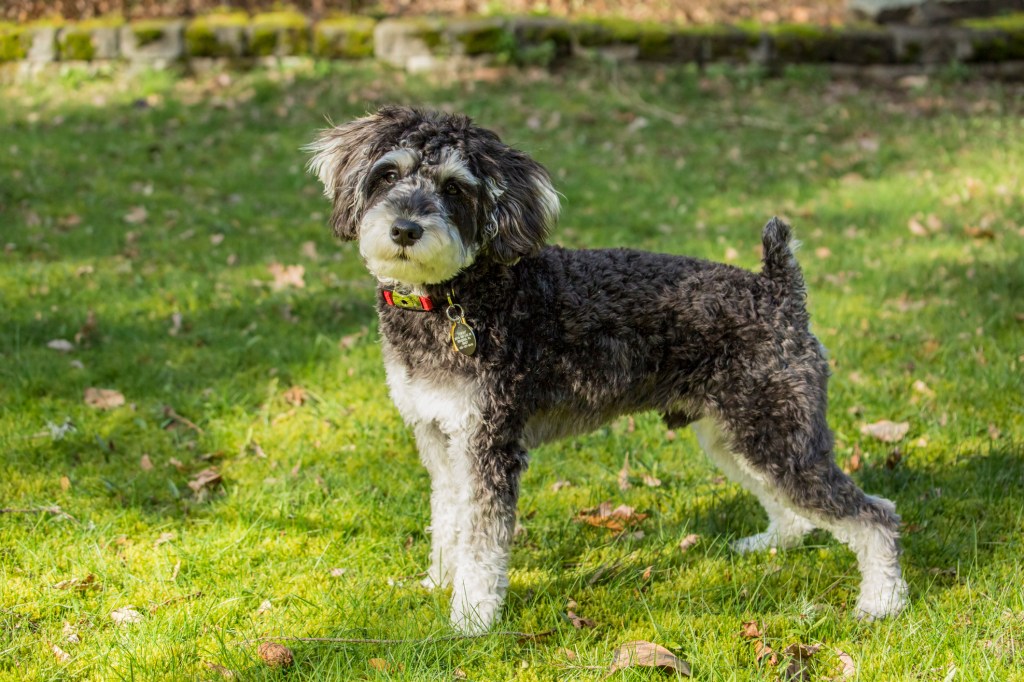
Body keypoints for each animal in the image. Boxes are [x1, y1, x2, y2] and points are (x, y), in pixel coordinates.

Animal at [305, 106, 913, 630]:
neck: (458, 297)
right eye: (388, 174)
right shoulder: (440, 438)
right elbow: (448, 520)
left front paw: (472, 617)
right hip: (736, 437)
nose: (405, 229)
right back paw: (772, 545)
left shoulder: (488, 445)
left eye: (455, 187)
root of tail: (779, 288)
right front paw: (438, 582)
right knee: (796, 511)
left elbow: (482, 540)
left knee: (876, 516)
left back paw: (881, 602)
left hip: (776, 437)